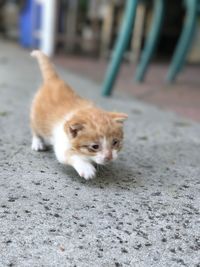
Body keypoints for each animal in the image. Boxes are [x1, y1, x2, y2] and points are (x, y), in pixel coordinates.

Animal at [30, 50, 127, 180]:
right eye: (94, 147)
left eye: (115, 142)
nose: (109, 157)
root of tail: (54, 80)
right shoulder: (61, 144)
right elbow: (69, 154)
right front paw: (86, 168)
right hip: (36, 117)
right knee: (35, 129)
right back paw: (37, 143)